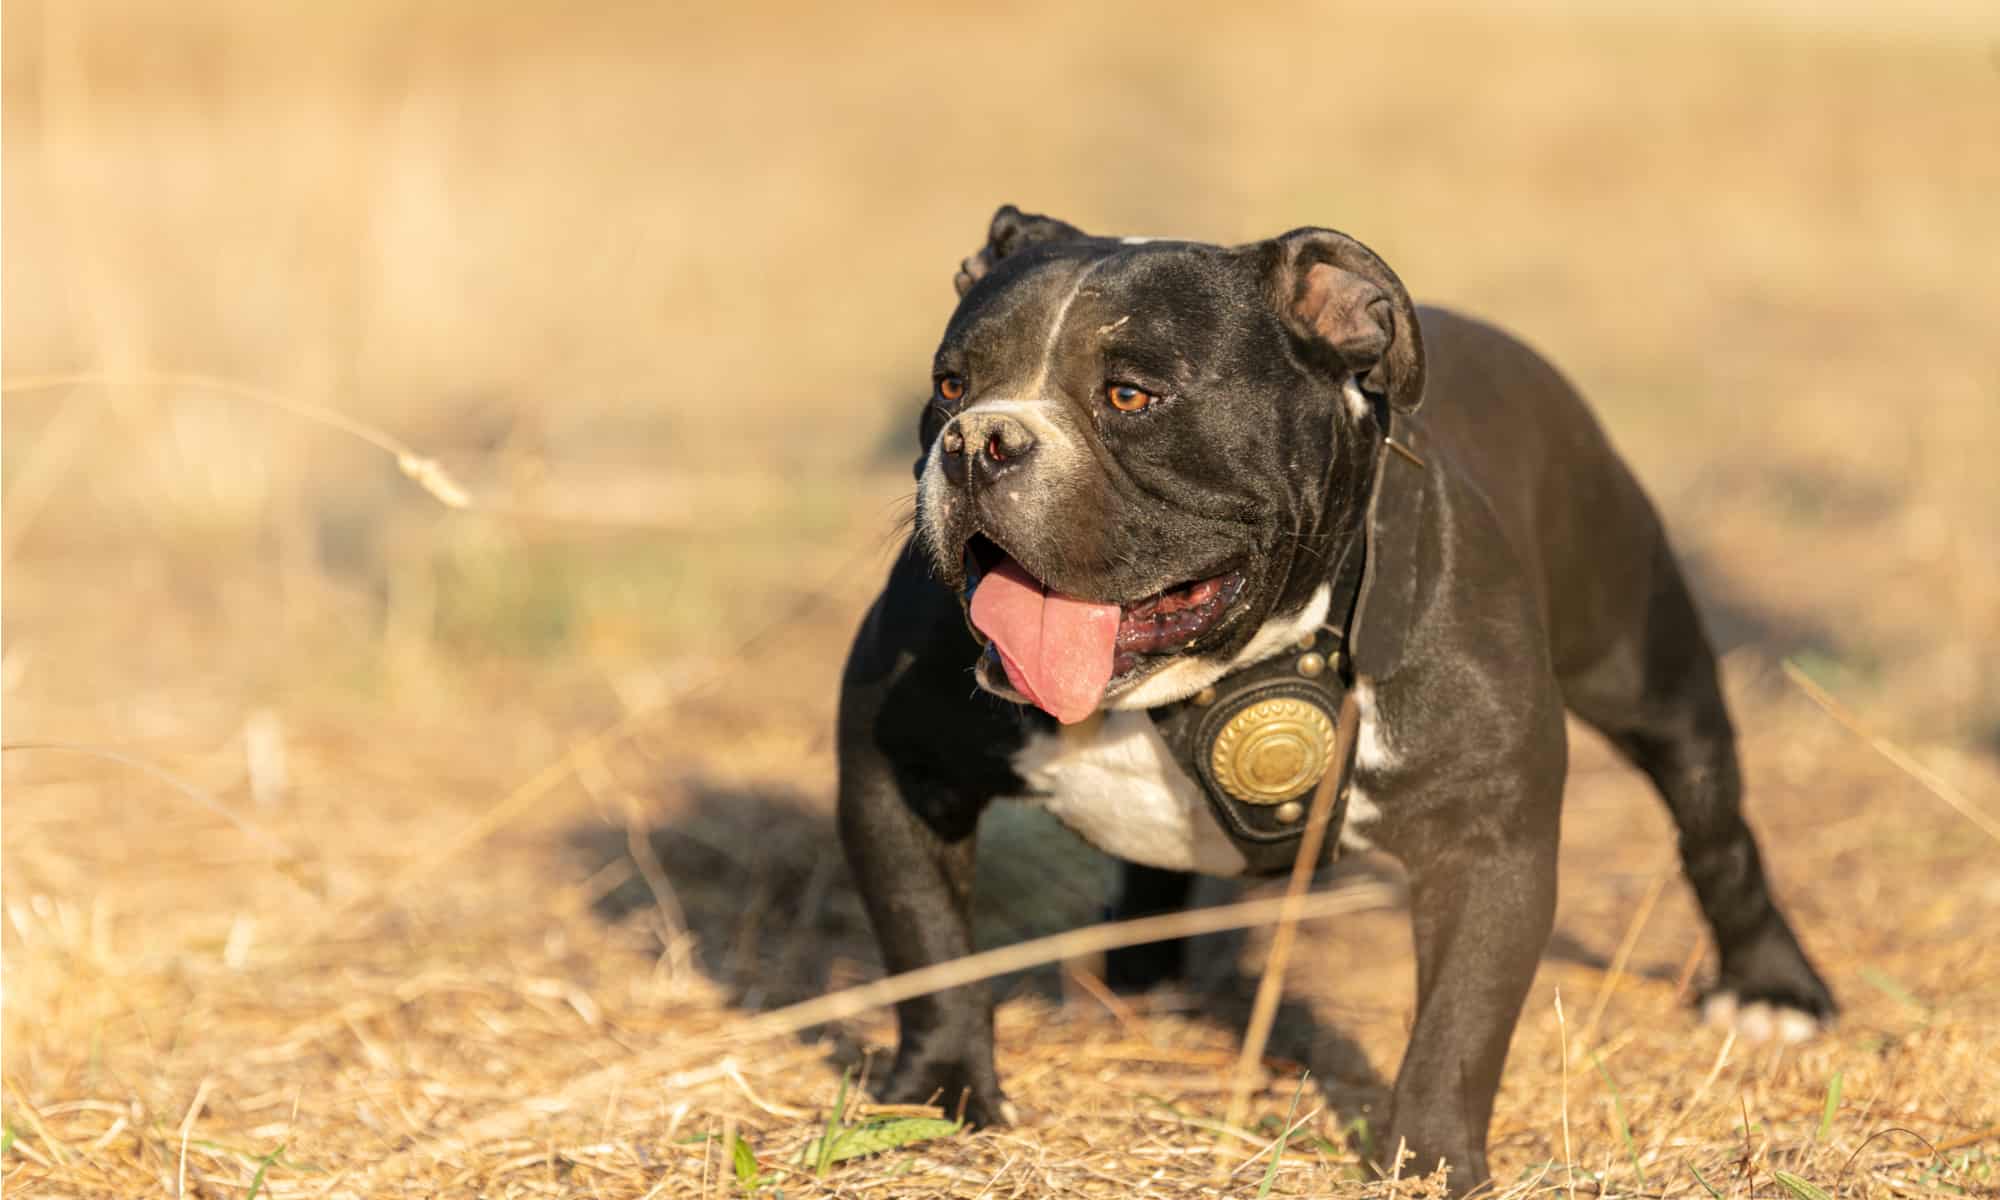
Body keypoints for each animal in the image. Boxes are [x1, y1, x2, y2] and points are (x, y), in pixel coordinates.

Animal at [836, 209, 1832, 1192]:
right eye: (951, 385)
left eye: (1131, 397)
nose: (979, 442)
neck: (1209, 673)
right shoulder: (899, 774)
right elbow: (928, 950)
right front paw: (940, 1092)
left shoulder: (1487, 841)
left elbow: (1460, 1022)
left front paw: (1427, 1160)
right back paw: (1144, 971)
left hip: (1651, 679)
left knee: (1714, 828)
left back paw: (1774, 989)